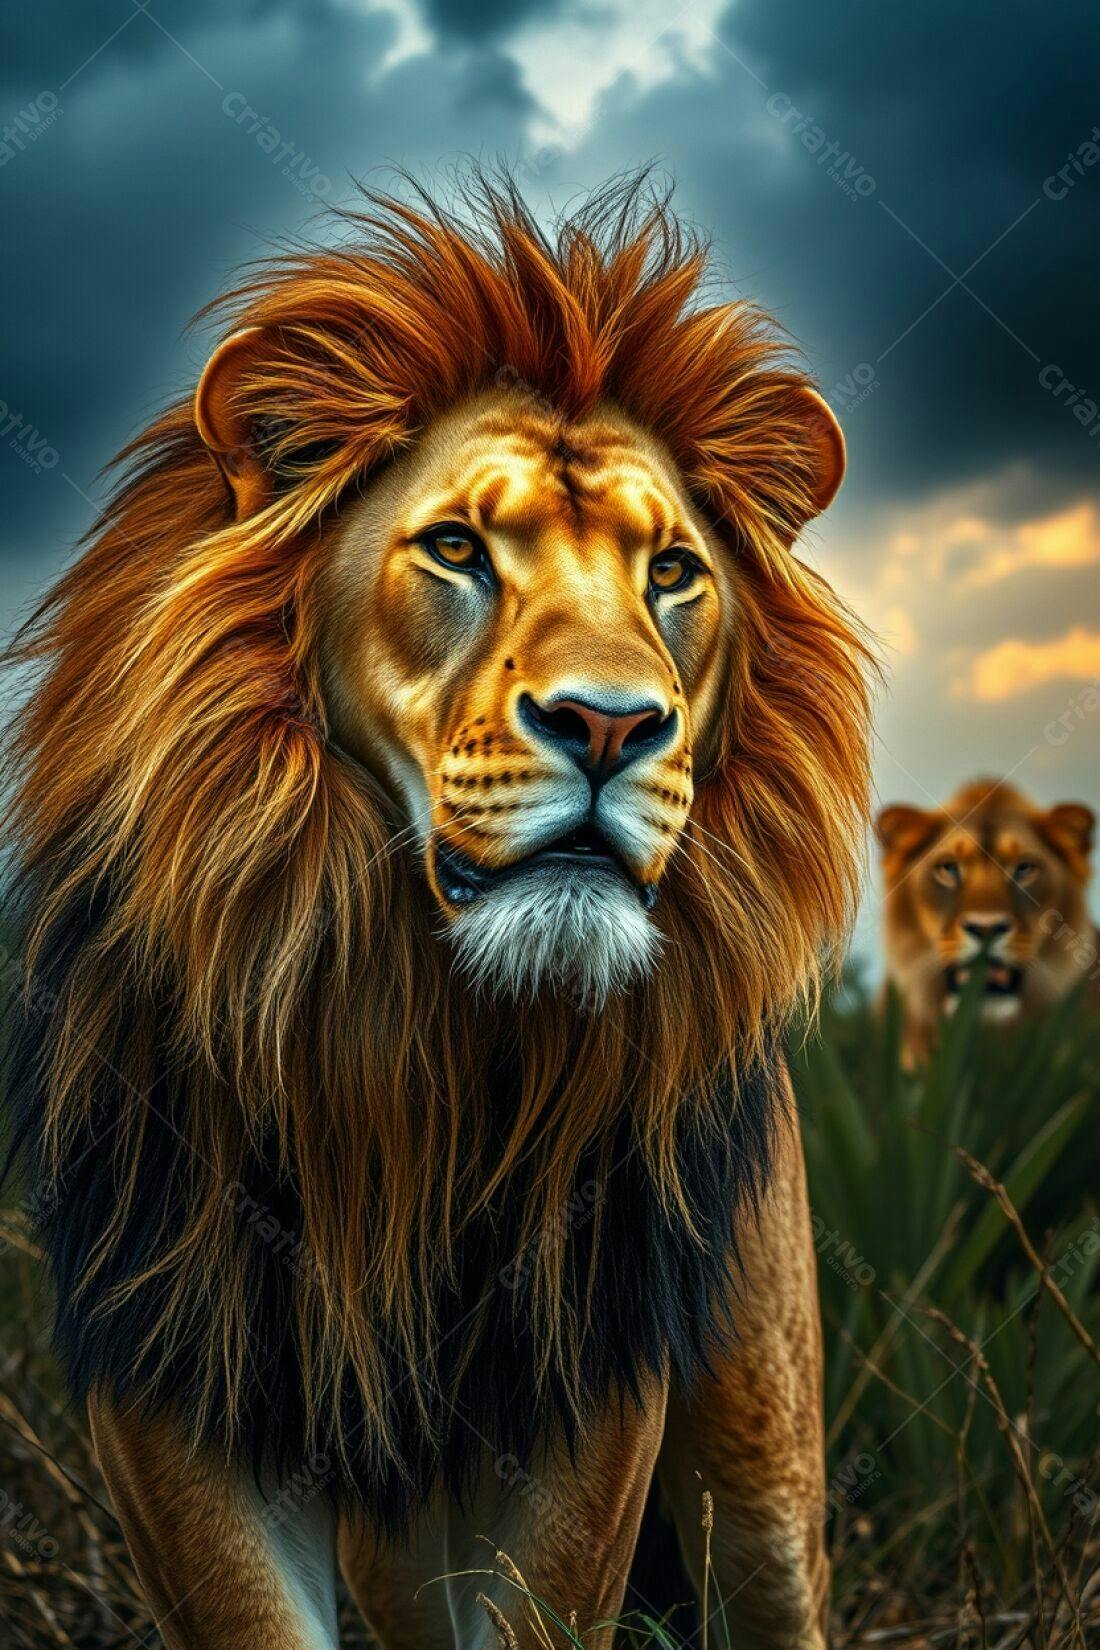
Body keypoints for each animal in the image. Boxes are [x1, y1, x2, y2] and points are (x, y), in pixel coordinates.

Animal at [4, 175, 871, 1650]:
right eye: (458, 548)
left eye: (672, 574)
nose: (612, 723)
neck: (404, 1029)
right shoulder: (171, 1368)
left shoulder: (587, 1377)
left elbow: (546, 1607)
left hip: (757, 1441)